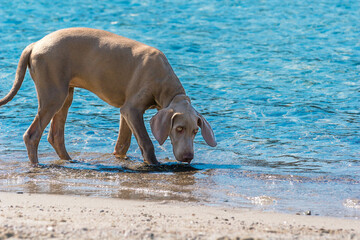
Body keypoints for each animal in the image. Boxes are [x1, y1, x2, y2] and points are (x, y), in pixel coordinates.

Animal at [0, 27, 217, 165]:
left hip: (65, 94)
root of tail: (35, 44)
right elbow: (146, 142)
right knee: (32, 134)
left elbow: (123, 143)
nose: (188, 157)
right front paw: (155, 165)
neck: (165, 85)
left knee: (55, 135)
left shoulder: (126, 112)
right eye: (179, 129)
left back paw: (69, 161)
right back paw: (37, 166)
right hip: (53, 94)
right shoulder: (131, 109)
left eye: (195, 132)